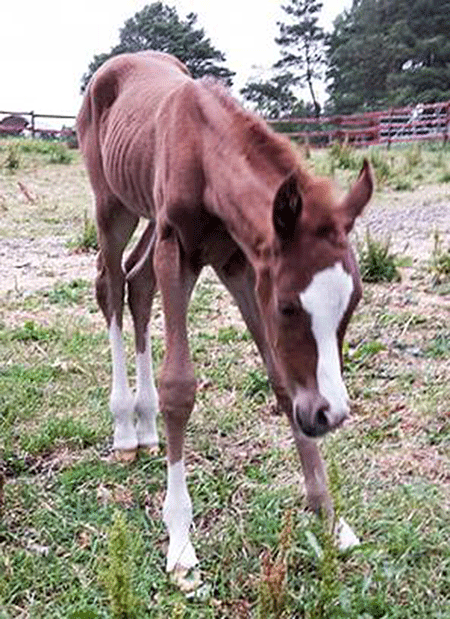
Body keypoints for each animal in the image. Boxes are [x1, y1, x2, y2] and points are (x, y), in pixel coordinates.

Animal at [77, 50, 372, 584]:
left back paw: (146, 430)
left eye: (352, 303)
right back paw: (126, 430)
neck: (203, 149)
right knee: (111, 285)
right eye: (288, 306)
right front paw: (180, 545)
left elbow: (282, 380)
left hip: (151, 219)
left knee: (138, 283)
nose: (330, 414)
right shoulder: (180, 248)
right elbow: (180, 387)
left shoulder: (239, 262)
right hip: (113, 207)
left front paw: (330, 516)